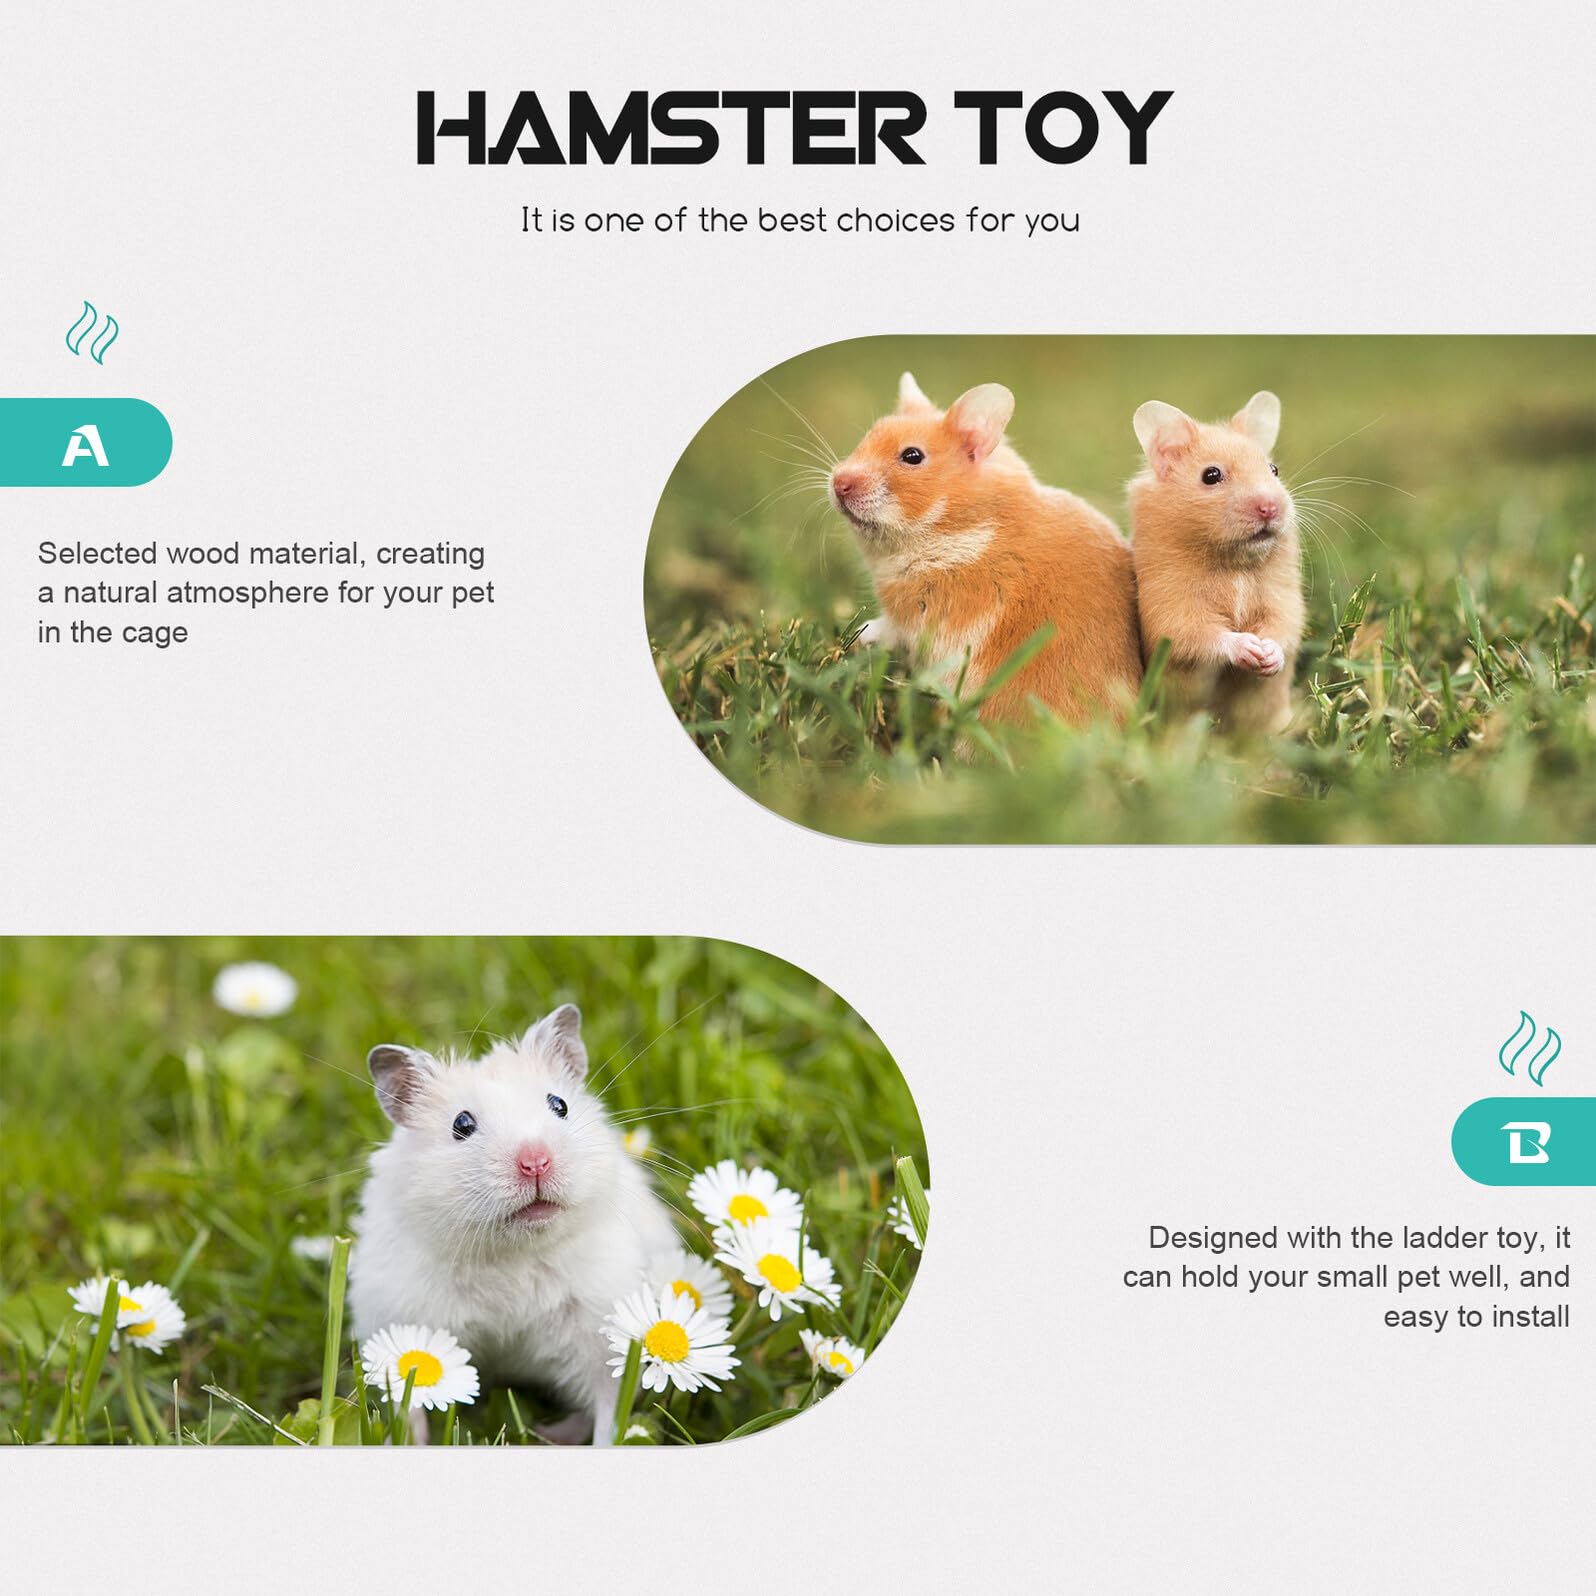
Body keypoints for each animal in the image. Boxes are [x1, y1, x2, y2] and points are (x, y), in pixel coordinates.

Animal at [348, 1005, 677, 1445]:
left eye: (559, 1105)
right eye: (462, 1124)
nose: (536, 1162)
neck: (512, 1252)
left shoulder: (601, 1332)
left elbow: (610, 1407)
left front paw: (608, 1443)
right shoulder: (401, 1320)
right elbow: (409, 1403)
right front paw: (406, 1442)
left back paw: (549, 1432)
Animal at [829, 372, 1143, 729]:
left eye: (912, 456)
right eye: (868, 436)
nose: (838, 483)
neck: (960, 528)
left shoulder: (921, 617)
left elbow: (889, 629)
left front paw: (860, 635)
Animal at [1128, 392, 1305, 735]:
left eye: (1274, 469)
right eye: (1211, 475)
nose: (1270, 507)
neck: (1233, 563)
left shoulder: (1282, 597)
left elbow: (1284, 626)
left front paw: (1268, 655)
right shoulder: (1172, 607)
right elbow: (1201, 635)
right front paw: (1249, 648)